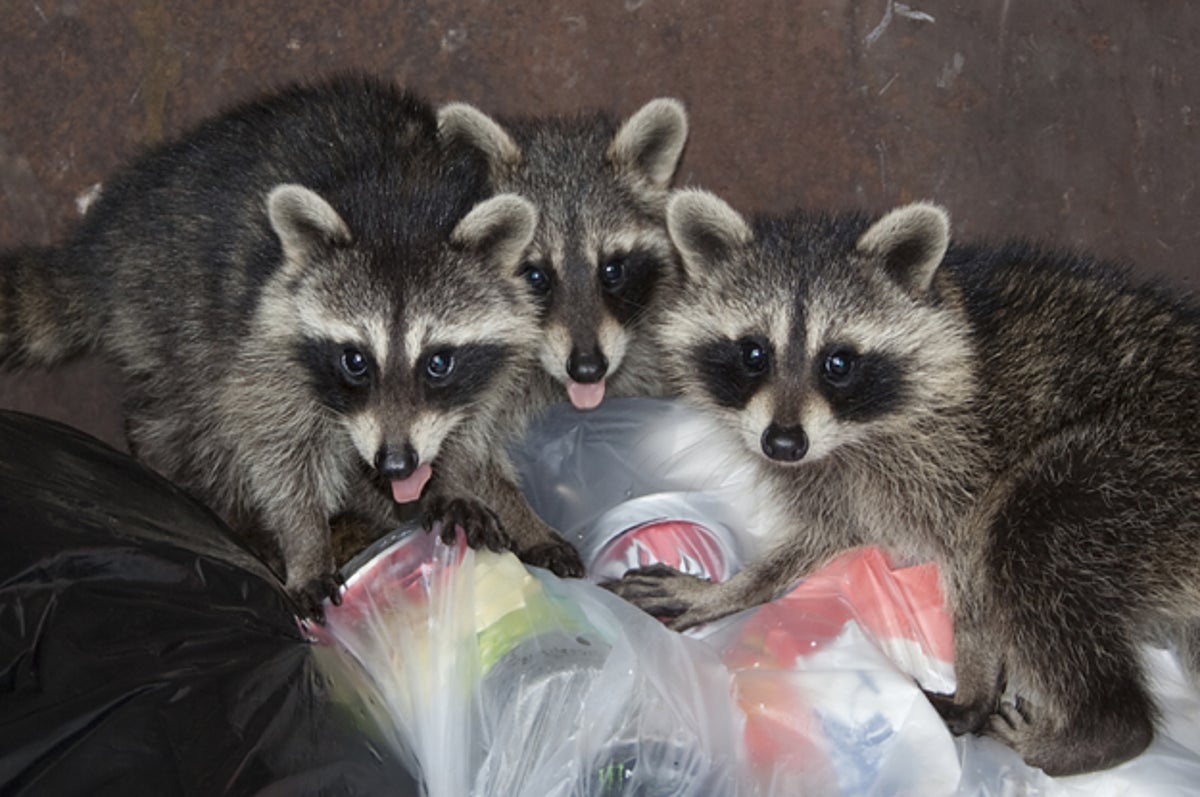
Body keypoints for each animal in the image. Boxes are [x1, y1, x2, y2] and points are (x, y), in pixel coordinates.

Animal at [0, 74, 540, 619]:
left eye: (438, 362)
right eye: (355, 360)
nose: (395, 465)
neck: (402, 212)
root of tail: (102, 241)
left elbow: (473, 423)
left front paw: (454, 483)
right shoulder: (266, 329)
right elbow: (275, 441)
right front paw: (305, 540)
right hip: (174, 305)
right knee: (196, 420)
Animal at [609, 189, 1200, 772]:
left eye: (838, 362)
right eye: (754, 353)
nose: (782, 445)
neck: (853, 436)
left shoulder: (965, 457)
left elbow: (976, 568)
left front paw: (976, 676)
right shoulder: (834, 477)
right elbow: (827, 534)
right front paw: (737, 587)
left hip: (1134, 466)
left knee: (1030, 535)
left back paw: (1097, 729)